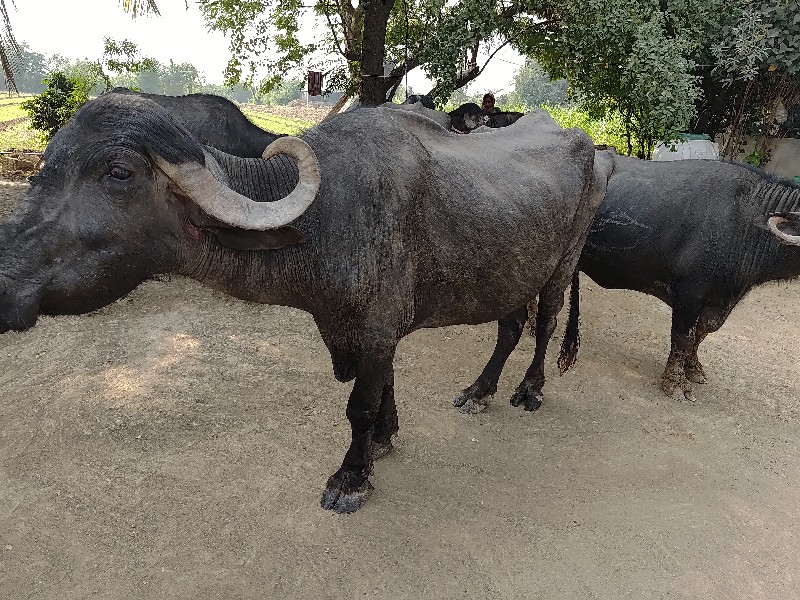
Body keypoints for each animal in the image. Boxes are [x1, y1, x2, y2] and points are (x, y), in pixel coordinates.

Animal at [456, 152, 800, 410]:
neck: (745, 223)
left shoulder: (718, 299)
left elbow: (701, 335)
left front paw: (694, 371)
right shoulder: (689, 294)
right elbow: (683, 337)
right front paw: (674, 384)